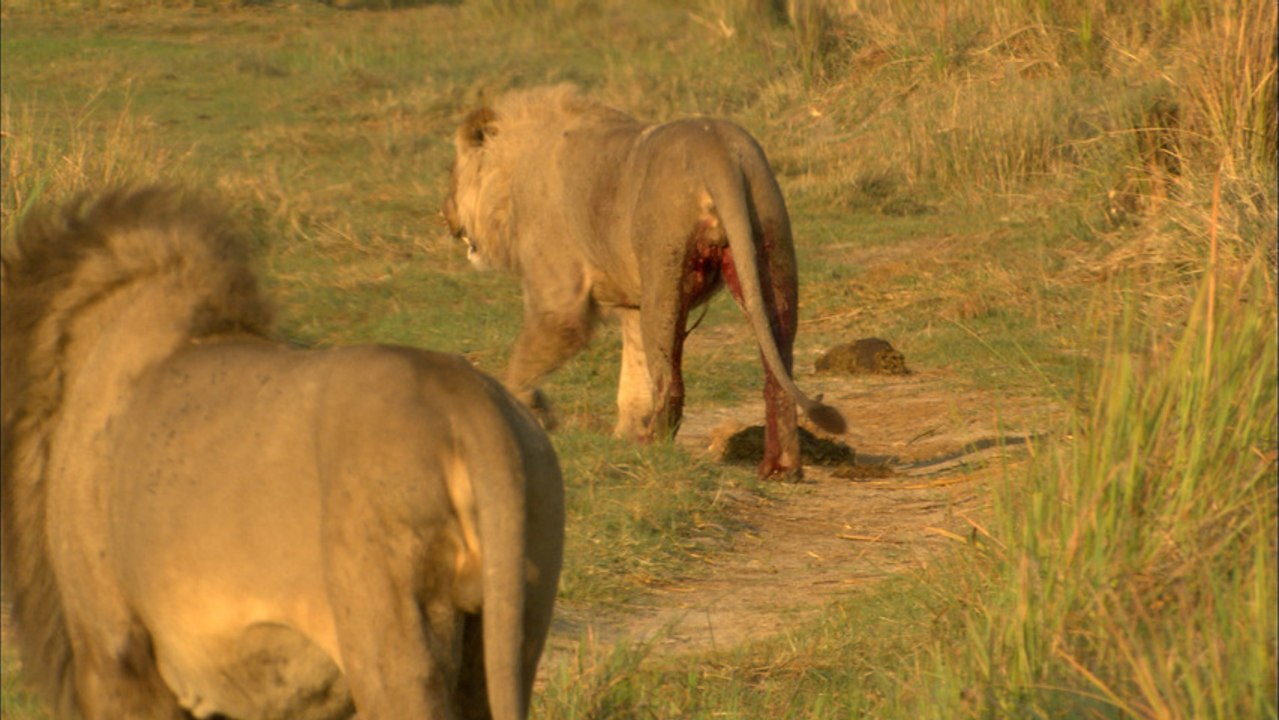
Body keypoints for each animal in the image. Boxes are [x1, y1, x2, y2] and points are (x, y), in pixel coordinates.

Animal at [443, 84, 845, 479]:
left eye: (453, 175)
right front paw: (621, 435)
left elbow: (527, 362)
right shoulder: (631, 301)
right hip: (770, 248)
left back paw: (654, 444)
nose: (446, 215)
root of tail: (719, 148)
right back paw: (781, 467)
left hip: (664, 271)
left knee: (669, 379)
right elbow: (632, 376)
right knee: (777, 370)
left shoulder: (559, 299)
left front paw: (529, 412)